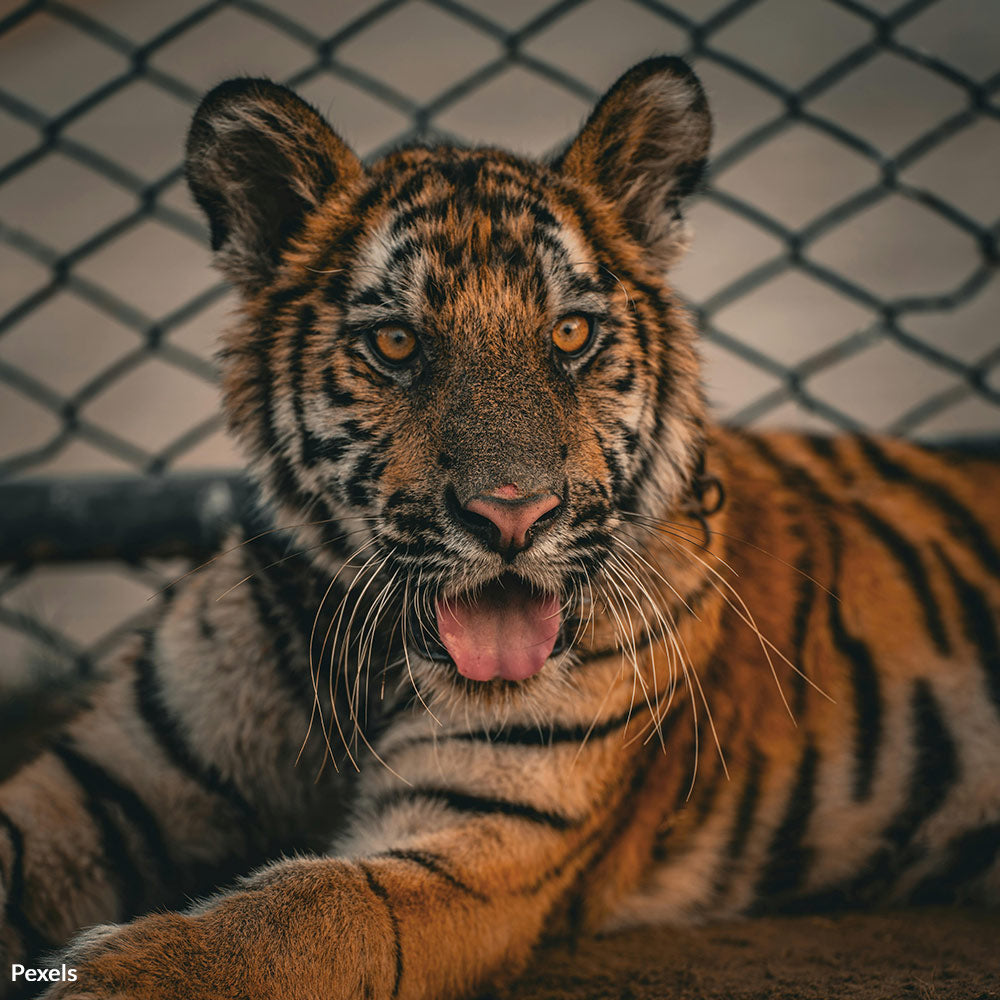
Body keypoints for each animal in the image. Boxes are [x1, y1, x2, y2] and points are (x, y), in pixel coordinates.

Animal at [1, 55, 999, 1000]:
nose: (513, 516)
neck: (356, 662)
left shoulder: (485, 839)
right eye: (396, 343)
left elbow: (304, 911)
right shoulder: (106, 781)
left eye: (570, 335)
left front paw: (115, 976)